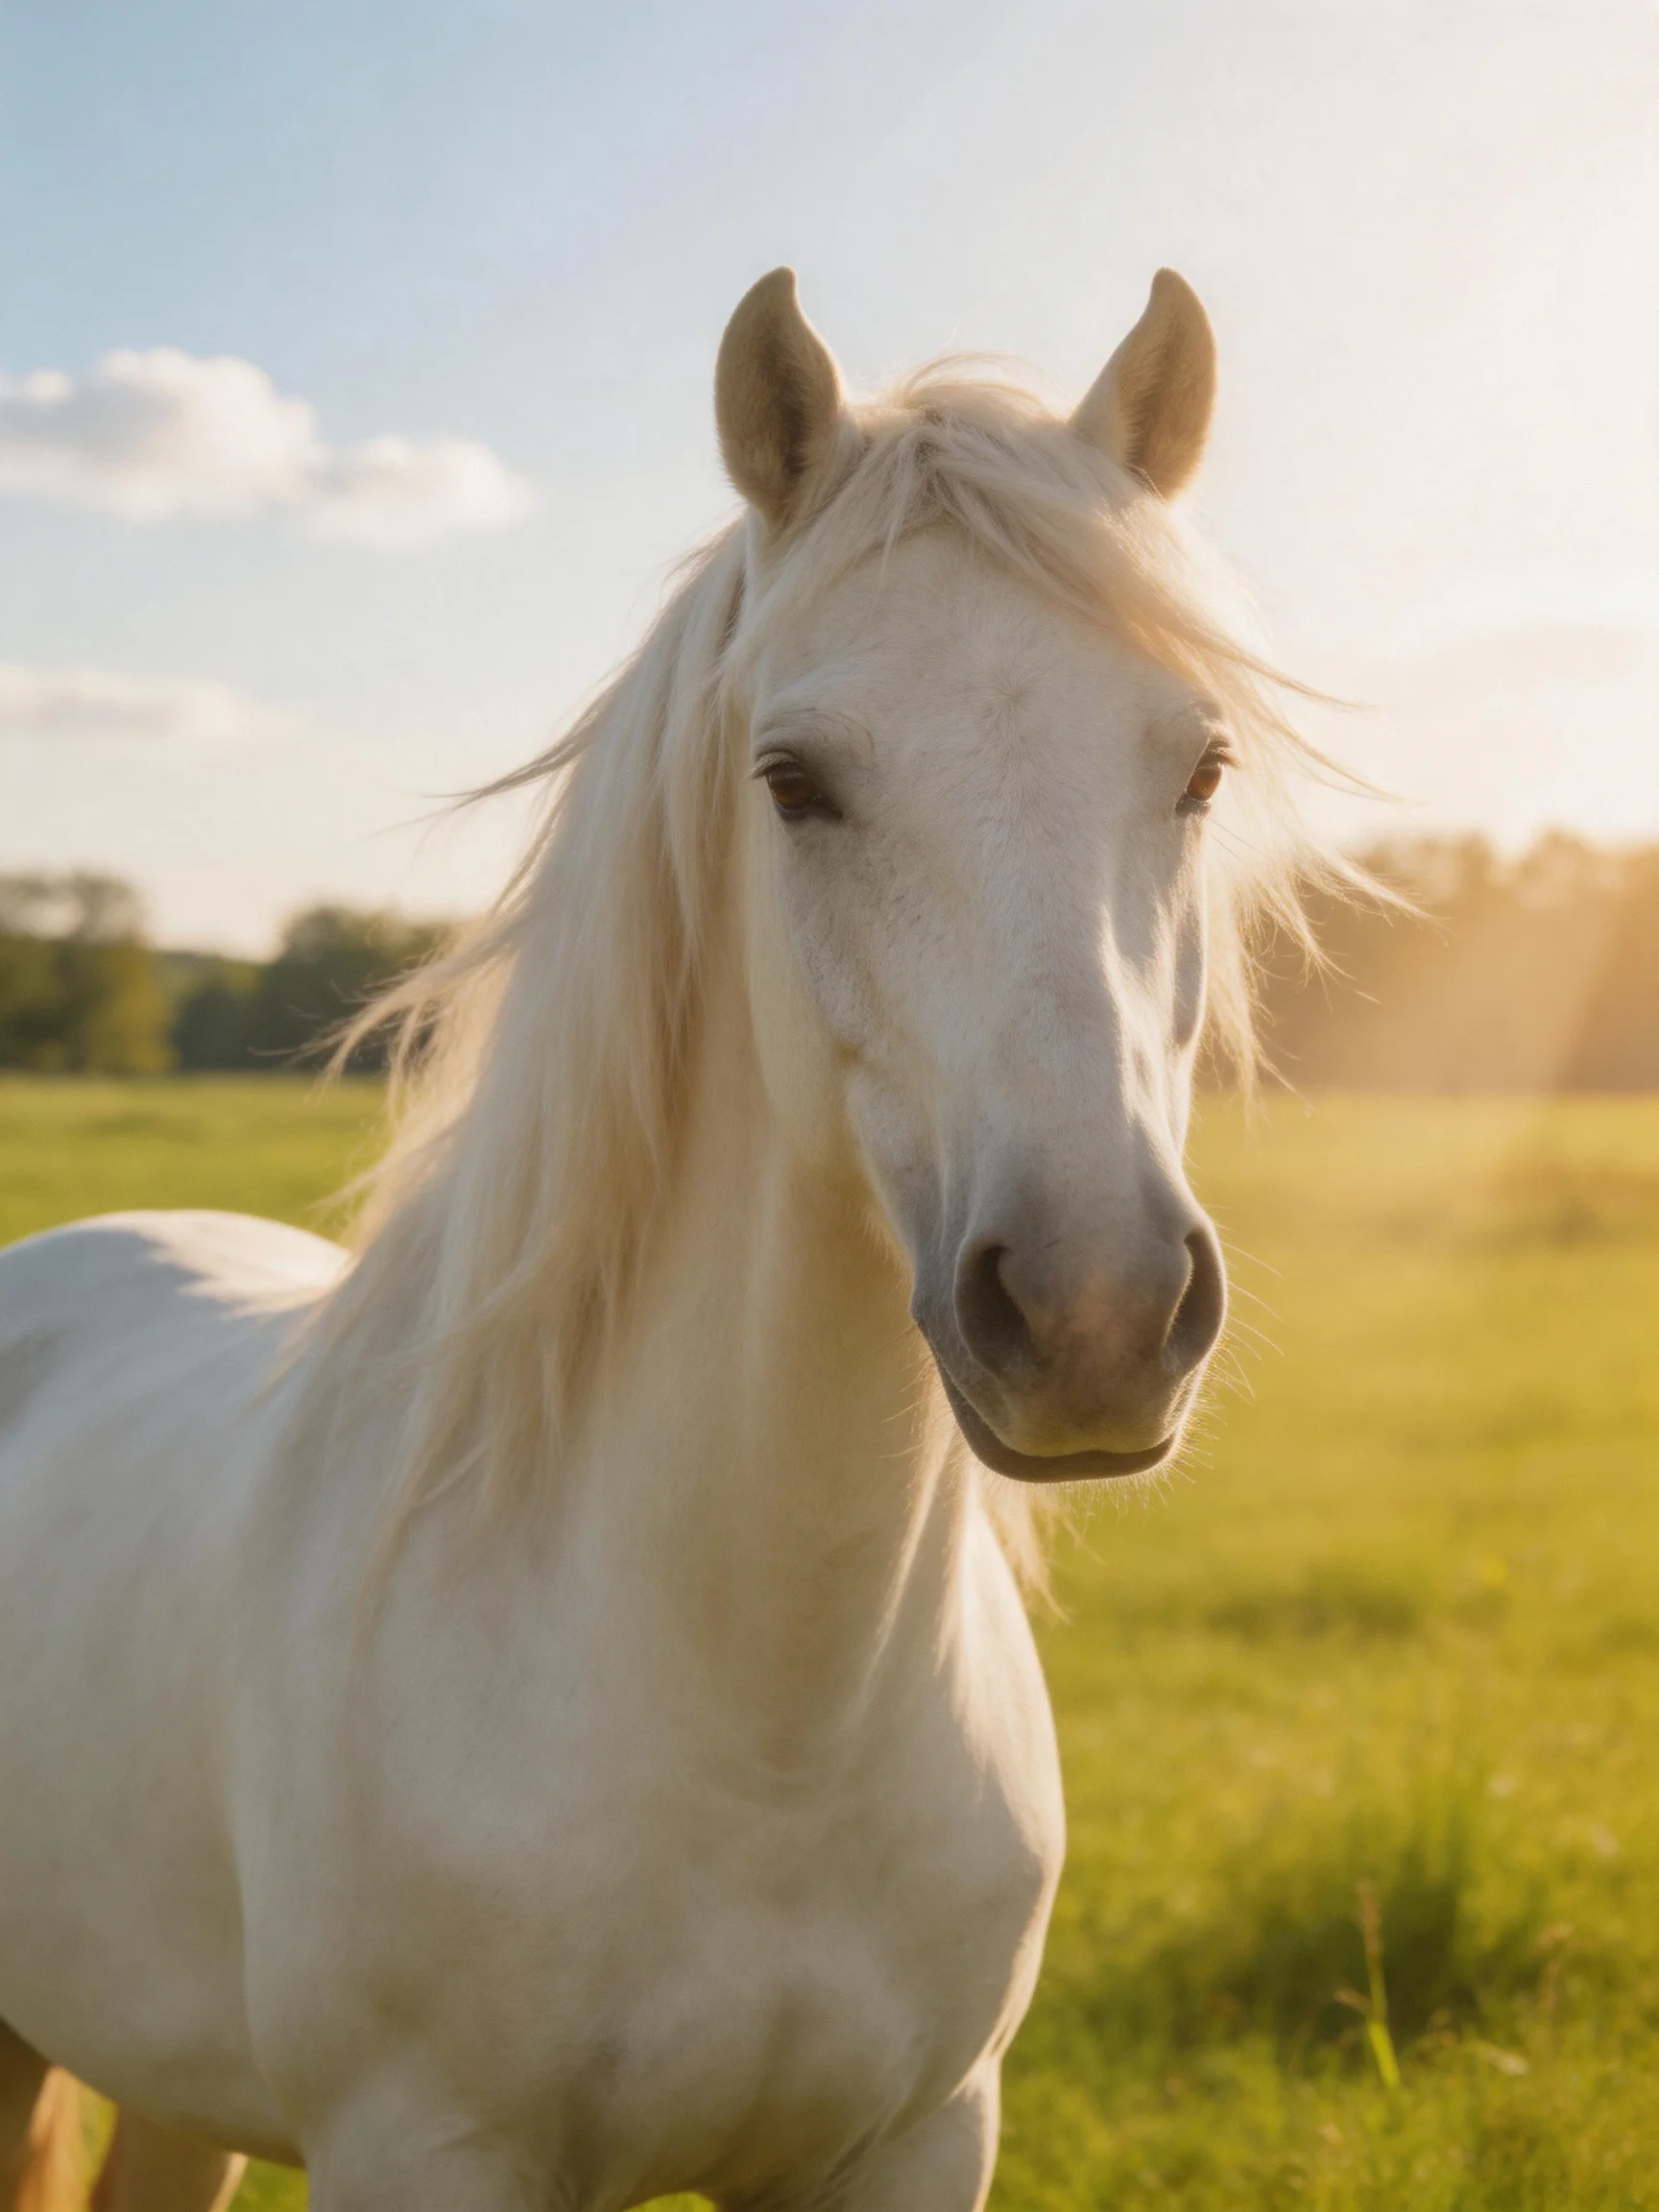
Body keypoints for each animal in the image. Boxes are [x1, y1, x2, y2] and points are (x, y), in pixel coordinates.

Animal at [0, 266, 1338, 2212]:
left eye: (1202, 765)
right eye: (793, 778)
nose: (1094, 1309)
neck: (760, 1720)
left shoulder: (916, 2137)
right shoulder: (427, 2147)